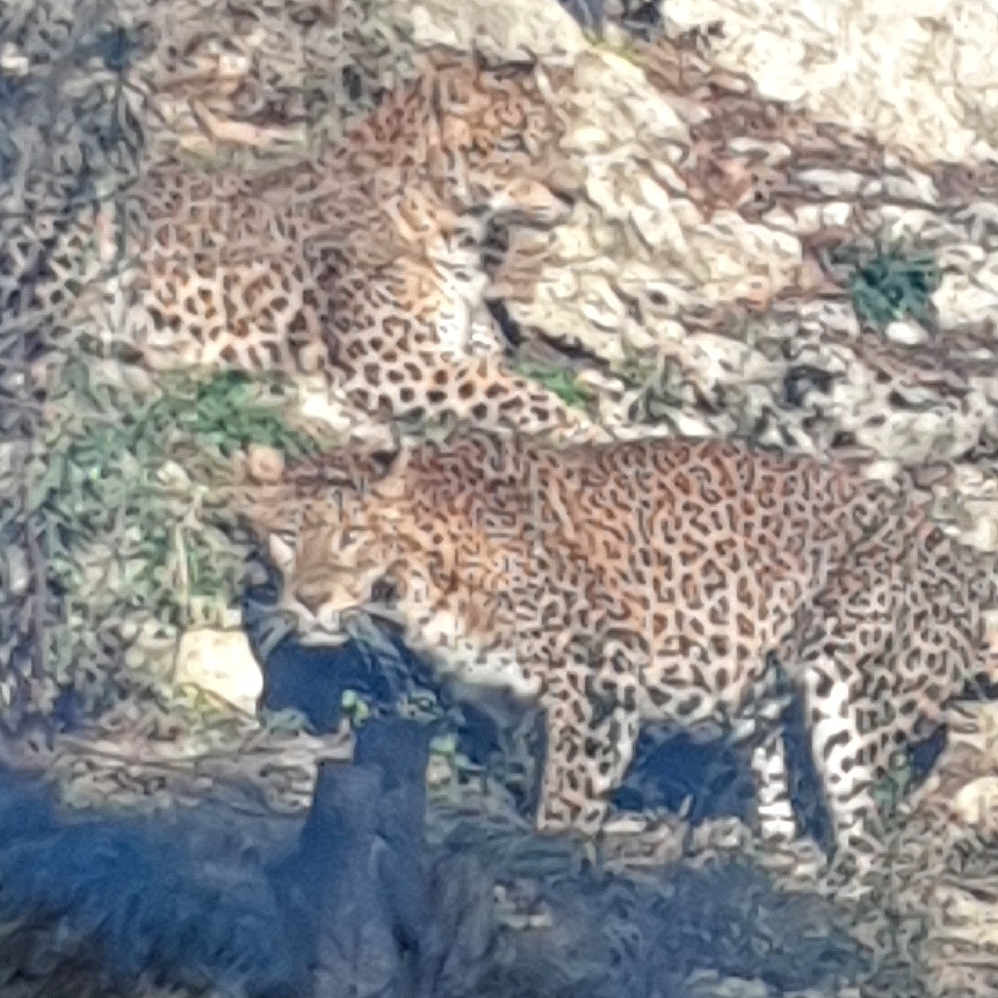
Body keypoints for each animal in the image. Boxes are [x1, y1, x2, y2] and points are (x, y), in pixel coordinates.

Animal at [7, 49, 599, 443]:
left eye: (559, 136)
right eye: (513, 144)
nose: (575, 193)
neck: (466, 236)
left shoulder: (462, 347)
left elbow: (502, 375)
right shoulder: (395, 361)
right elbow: (520, 392)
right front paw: (595, 431)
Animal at [239, 426, 998, 881]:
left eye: (352, 538)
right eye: (286, 536)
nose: (309, 600)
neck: (422, 576)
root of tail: (962, 556)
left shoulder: (598, 674)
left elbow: (569, 794)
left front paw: (548, 859)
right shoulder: (515, 704)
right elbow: (536, 770)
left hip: (848, 682)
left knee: (865, 834)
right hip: (765, 706)